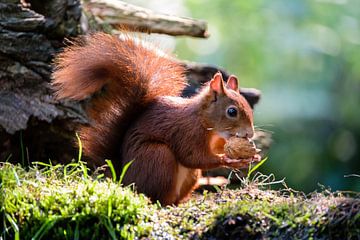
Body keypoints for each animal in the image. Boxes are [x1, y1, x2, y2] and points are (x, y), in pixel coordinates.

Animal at [52, 31, 258, 204]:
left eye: (249, 107)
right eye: (232, 112)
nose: (250, 134)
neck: (207, 124)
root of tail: (124, 179)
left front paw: (251, 156)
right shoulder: (187, 132)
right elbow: (193, 156)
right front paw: (228, 160)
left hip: (190, 175)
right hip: (158, 157)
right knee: (157, 196)